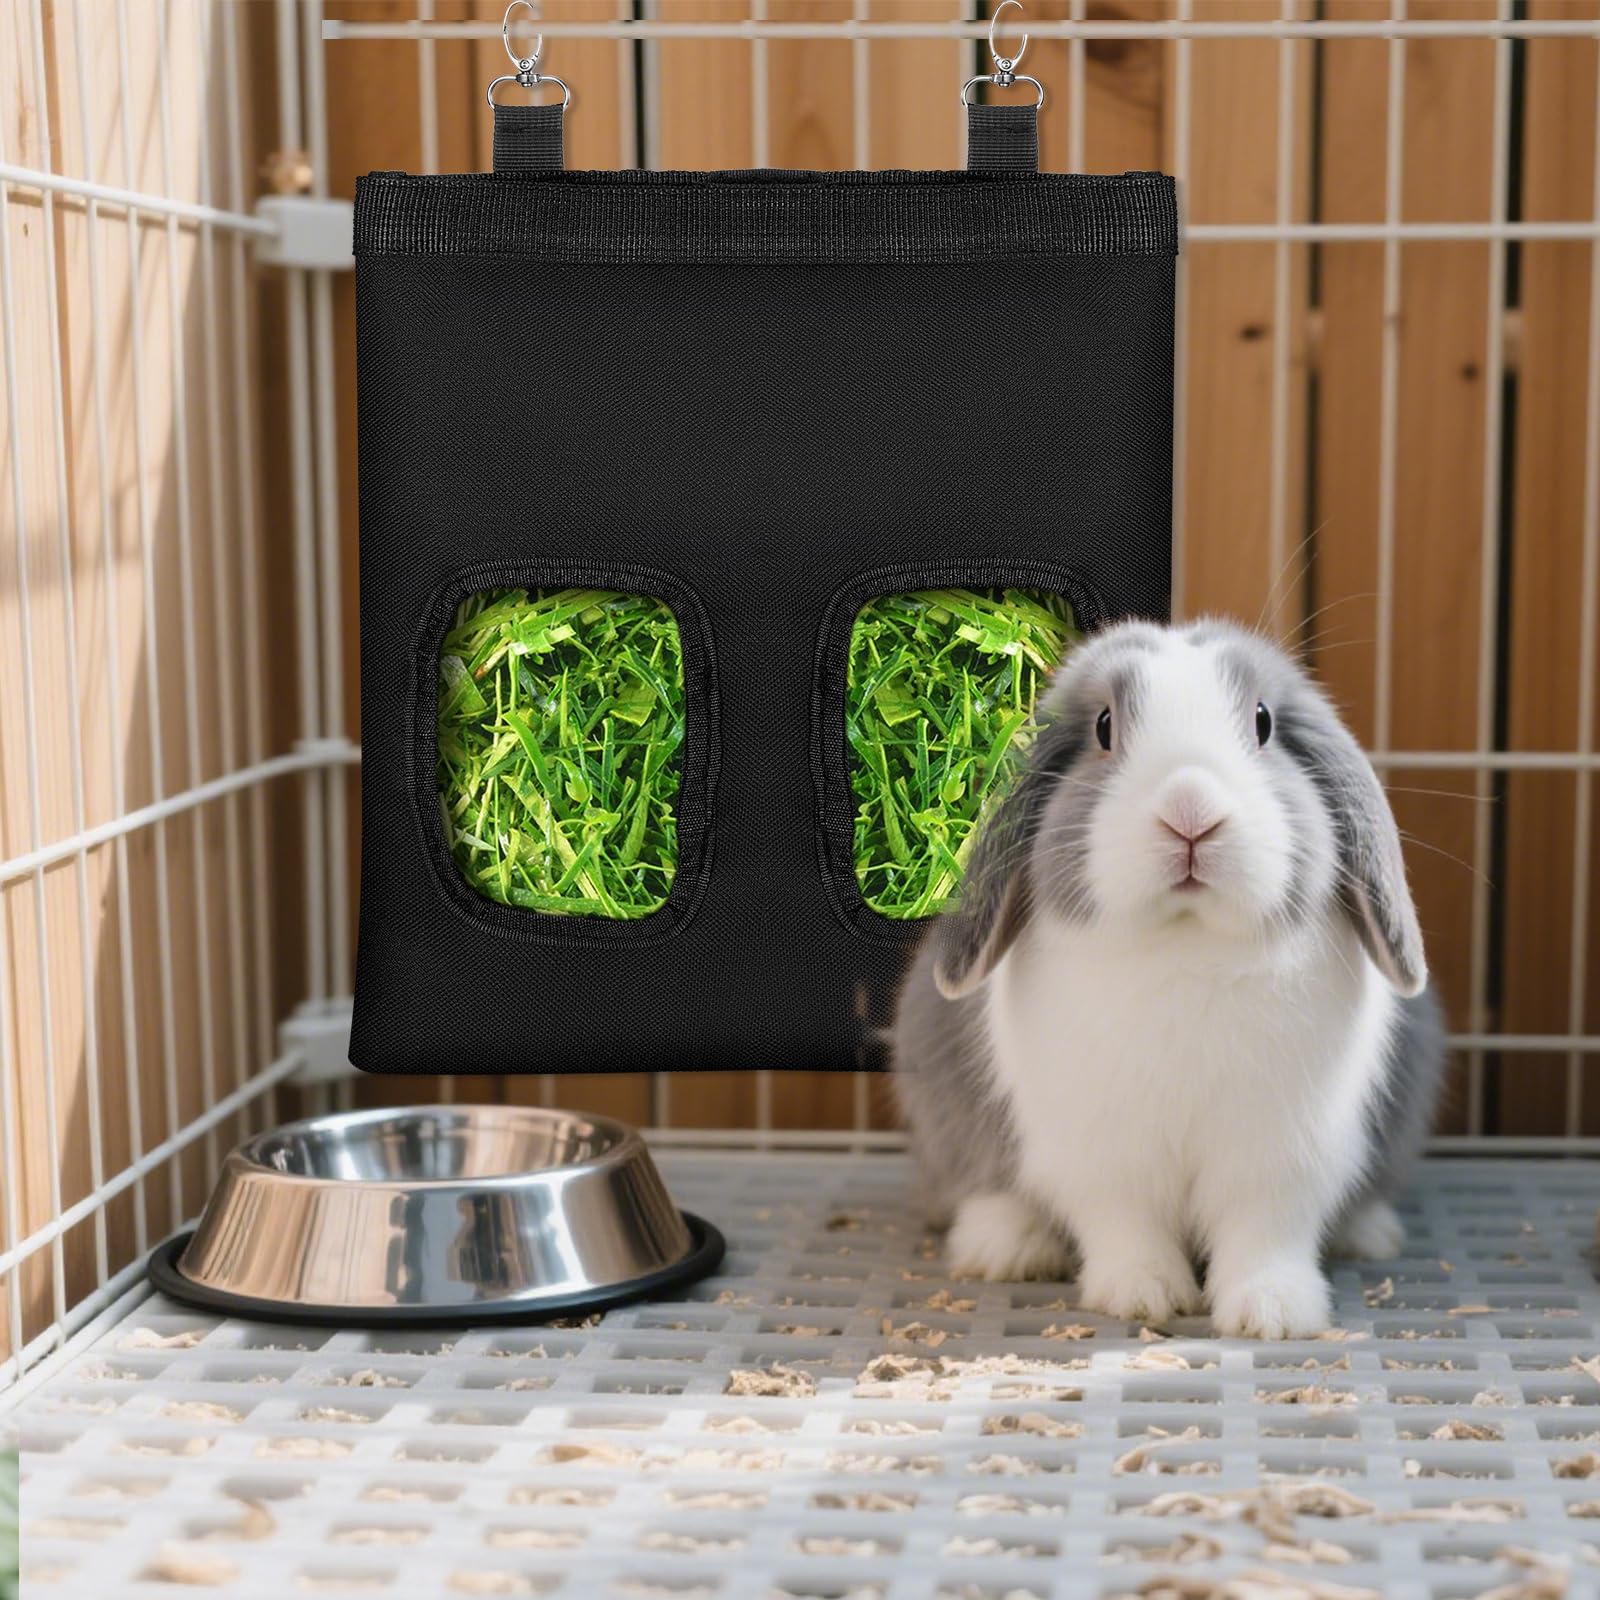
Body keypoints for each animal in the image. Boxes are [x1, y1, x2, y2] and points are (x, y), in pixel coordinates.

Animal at [891, 617, 1445, 1339]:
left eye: (1263, 722)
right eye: (1104, 727)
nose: (1191, 811)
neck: (1188, 948)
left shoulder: (1280, 1155)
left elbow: (1265, 1233)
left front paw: (1271, 1313)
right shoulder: (1103, 1156)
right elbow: (1126, 1226)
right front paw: (1143, 1294)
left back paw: (1367, 1233)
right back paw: (1007, 1246)